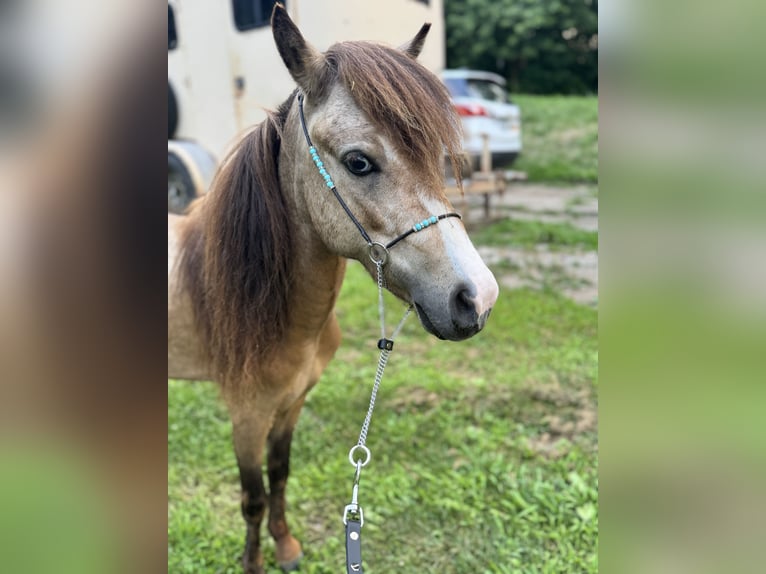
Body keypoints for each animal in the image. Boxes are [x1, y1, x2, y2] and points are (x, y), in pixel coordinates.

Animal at [167, 5, 499, 573]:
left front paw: (285, 547)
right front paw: (254, 561)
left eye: (436, 154)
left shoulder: (291, 405)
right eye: (358, 161)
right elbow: (252, 496)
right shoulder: (246, 415)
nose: (477, 296)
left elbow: (280, 476)